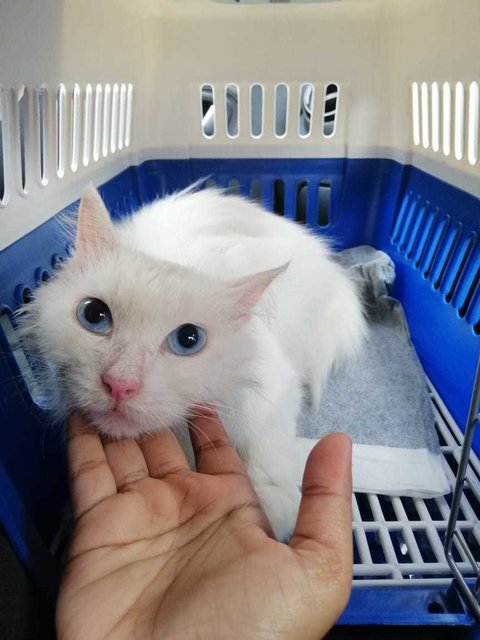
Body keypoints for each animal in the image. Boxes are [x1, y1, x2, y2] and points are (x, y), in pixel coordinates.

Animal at [19, 185, 364, 540]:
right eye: (94, 315)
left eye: (188, 339)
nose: (120, 384)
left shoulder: (275, 388)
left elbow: (267, 447)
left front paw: (270, 504)